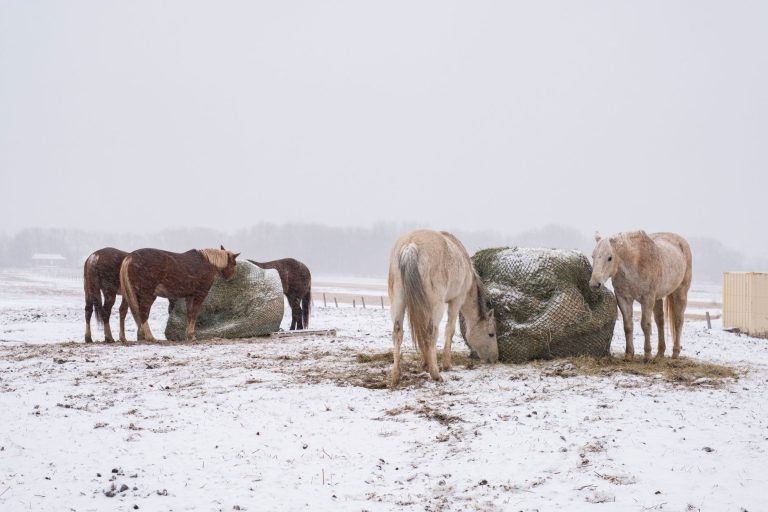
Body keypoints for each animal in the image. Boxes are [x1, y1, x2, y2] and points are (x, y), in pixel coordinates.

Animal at [388, 230, 497, 387]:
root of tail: (410, 246)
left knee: (398, 333)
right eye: (491, 334)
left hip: (398, 302)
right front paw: (446, 364)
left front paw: (425, 362)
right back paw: (435, 374)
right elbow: (449, 330)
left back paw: (396, 376)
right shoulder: (456, 301)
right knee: (431, 332)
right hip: (437, 306)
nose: (495, 359)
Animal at [589, 231, 692, 362]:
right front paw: (628, 355)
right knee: (660, 321)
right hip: (657, 298)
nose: (594, 284)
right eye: (593, 256)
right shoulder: (624, 298)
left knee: (678, 321)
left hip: (680, 292)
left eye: (609, 258)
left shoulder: (647, 299)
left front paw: (647, 356)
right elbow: (628, 326)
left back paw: (675, 353)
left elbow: (645, 325)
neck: (635, 264)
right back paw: (660, 353)